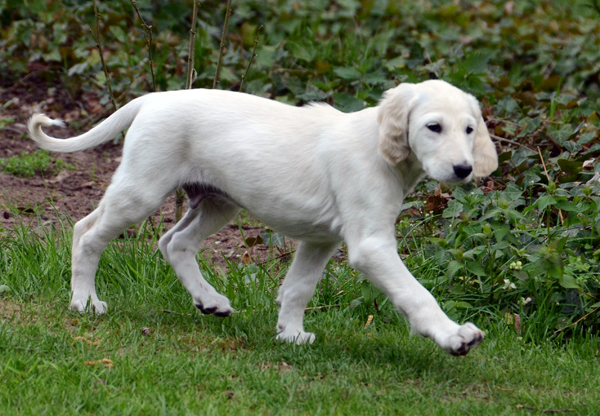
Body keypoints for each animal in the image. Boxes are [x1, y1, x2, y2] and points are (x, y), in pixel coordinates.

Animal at [28, 79, 496, 356]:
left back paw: (209, 300)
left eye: (469, 129)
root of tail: (155, 97)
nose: (464, 170)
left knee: (173, 242)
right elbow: (417, 294)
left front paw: (290, 334)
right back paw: (84, 301)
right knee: (87, 232)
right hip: (142, 188)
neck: (380, 146)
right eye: (433, 127)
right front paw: (453, 335)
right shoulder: (371, 245)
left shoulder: (320, 239)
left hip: (218, 201)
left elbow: (299, 288)